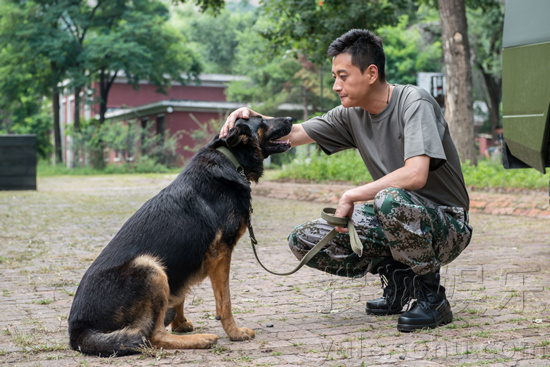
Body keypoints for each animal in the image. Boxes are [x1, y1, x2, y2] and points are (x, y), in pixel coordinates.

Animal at [69, 115, 296, 356]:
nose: (291, 119)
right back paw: (202, 339)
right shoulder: (221, 253)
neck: (230, 158)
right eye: (262, 120)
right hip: (150, 268)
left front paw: (180, 323)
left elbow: (182, 294)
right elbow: (225, 301)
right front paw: (234, 333)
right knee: (153, 337)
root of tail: (77, 329)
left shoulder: (186, 261)